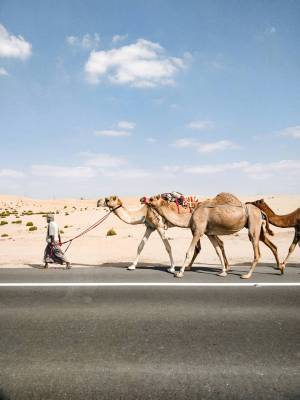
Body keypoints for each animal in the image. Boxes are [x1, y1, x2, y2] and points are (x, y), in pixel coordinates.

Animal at [97, 196, 229, 276]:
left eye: (107, 199)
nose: (98, 202)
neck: (144, 213)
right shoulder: (150, 227)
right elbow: (140, 246)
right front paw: (132, 266)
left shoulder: (159, 226)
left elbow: (168, 247)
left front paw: (172, 268)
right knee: (218, 243)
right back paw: (225, 267)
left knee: (209, 245)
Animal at [148, 192, 282, 280]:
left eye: (153, 198)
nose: (144, 199)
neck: (189, 217)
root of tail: (261, 211)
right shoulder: (210, 233)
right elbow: (217, 251)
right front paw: (223, 272)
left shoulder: (198, 231)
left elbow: (189, 251)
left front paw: (179, 273)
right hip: (257, 227)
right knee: (272, 246)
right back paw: (280, 269)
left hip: (253, 225)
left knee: (257, 251)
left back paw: (247, 275)